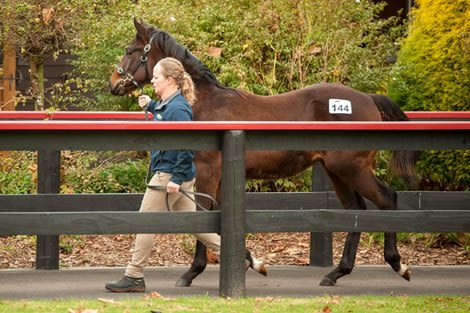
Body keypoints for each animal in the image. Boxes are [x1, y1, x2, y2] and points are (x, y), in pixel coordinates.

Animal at [109, 19, 414, 286]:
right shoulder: (221, 177)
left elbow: (204, 214)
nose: (112, 84)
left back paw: (398, 264)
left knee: (387, 199)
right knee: (356, 210)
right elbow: (220, 217)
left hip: (352, 168)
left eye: (129, 50)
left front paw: (191, 272)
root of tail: (369, 99)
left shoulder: (208, 172)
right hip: (336, 171)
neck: (203, 103)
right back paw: (336, 273)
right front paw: (253, 262)